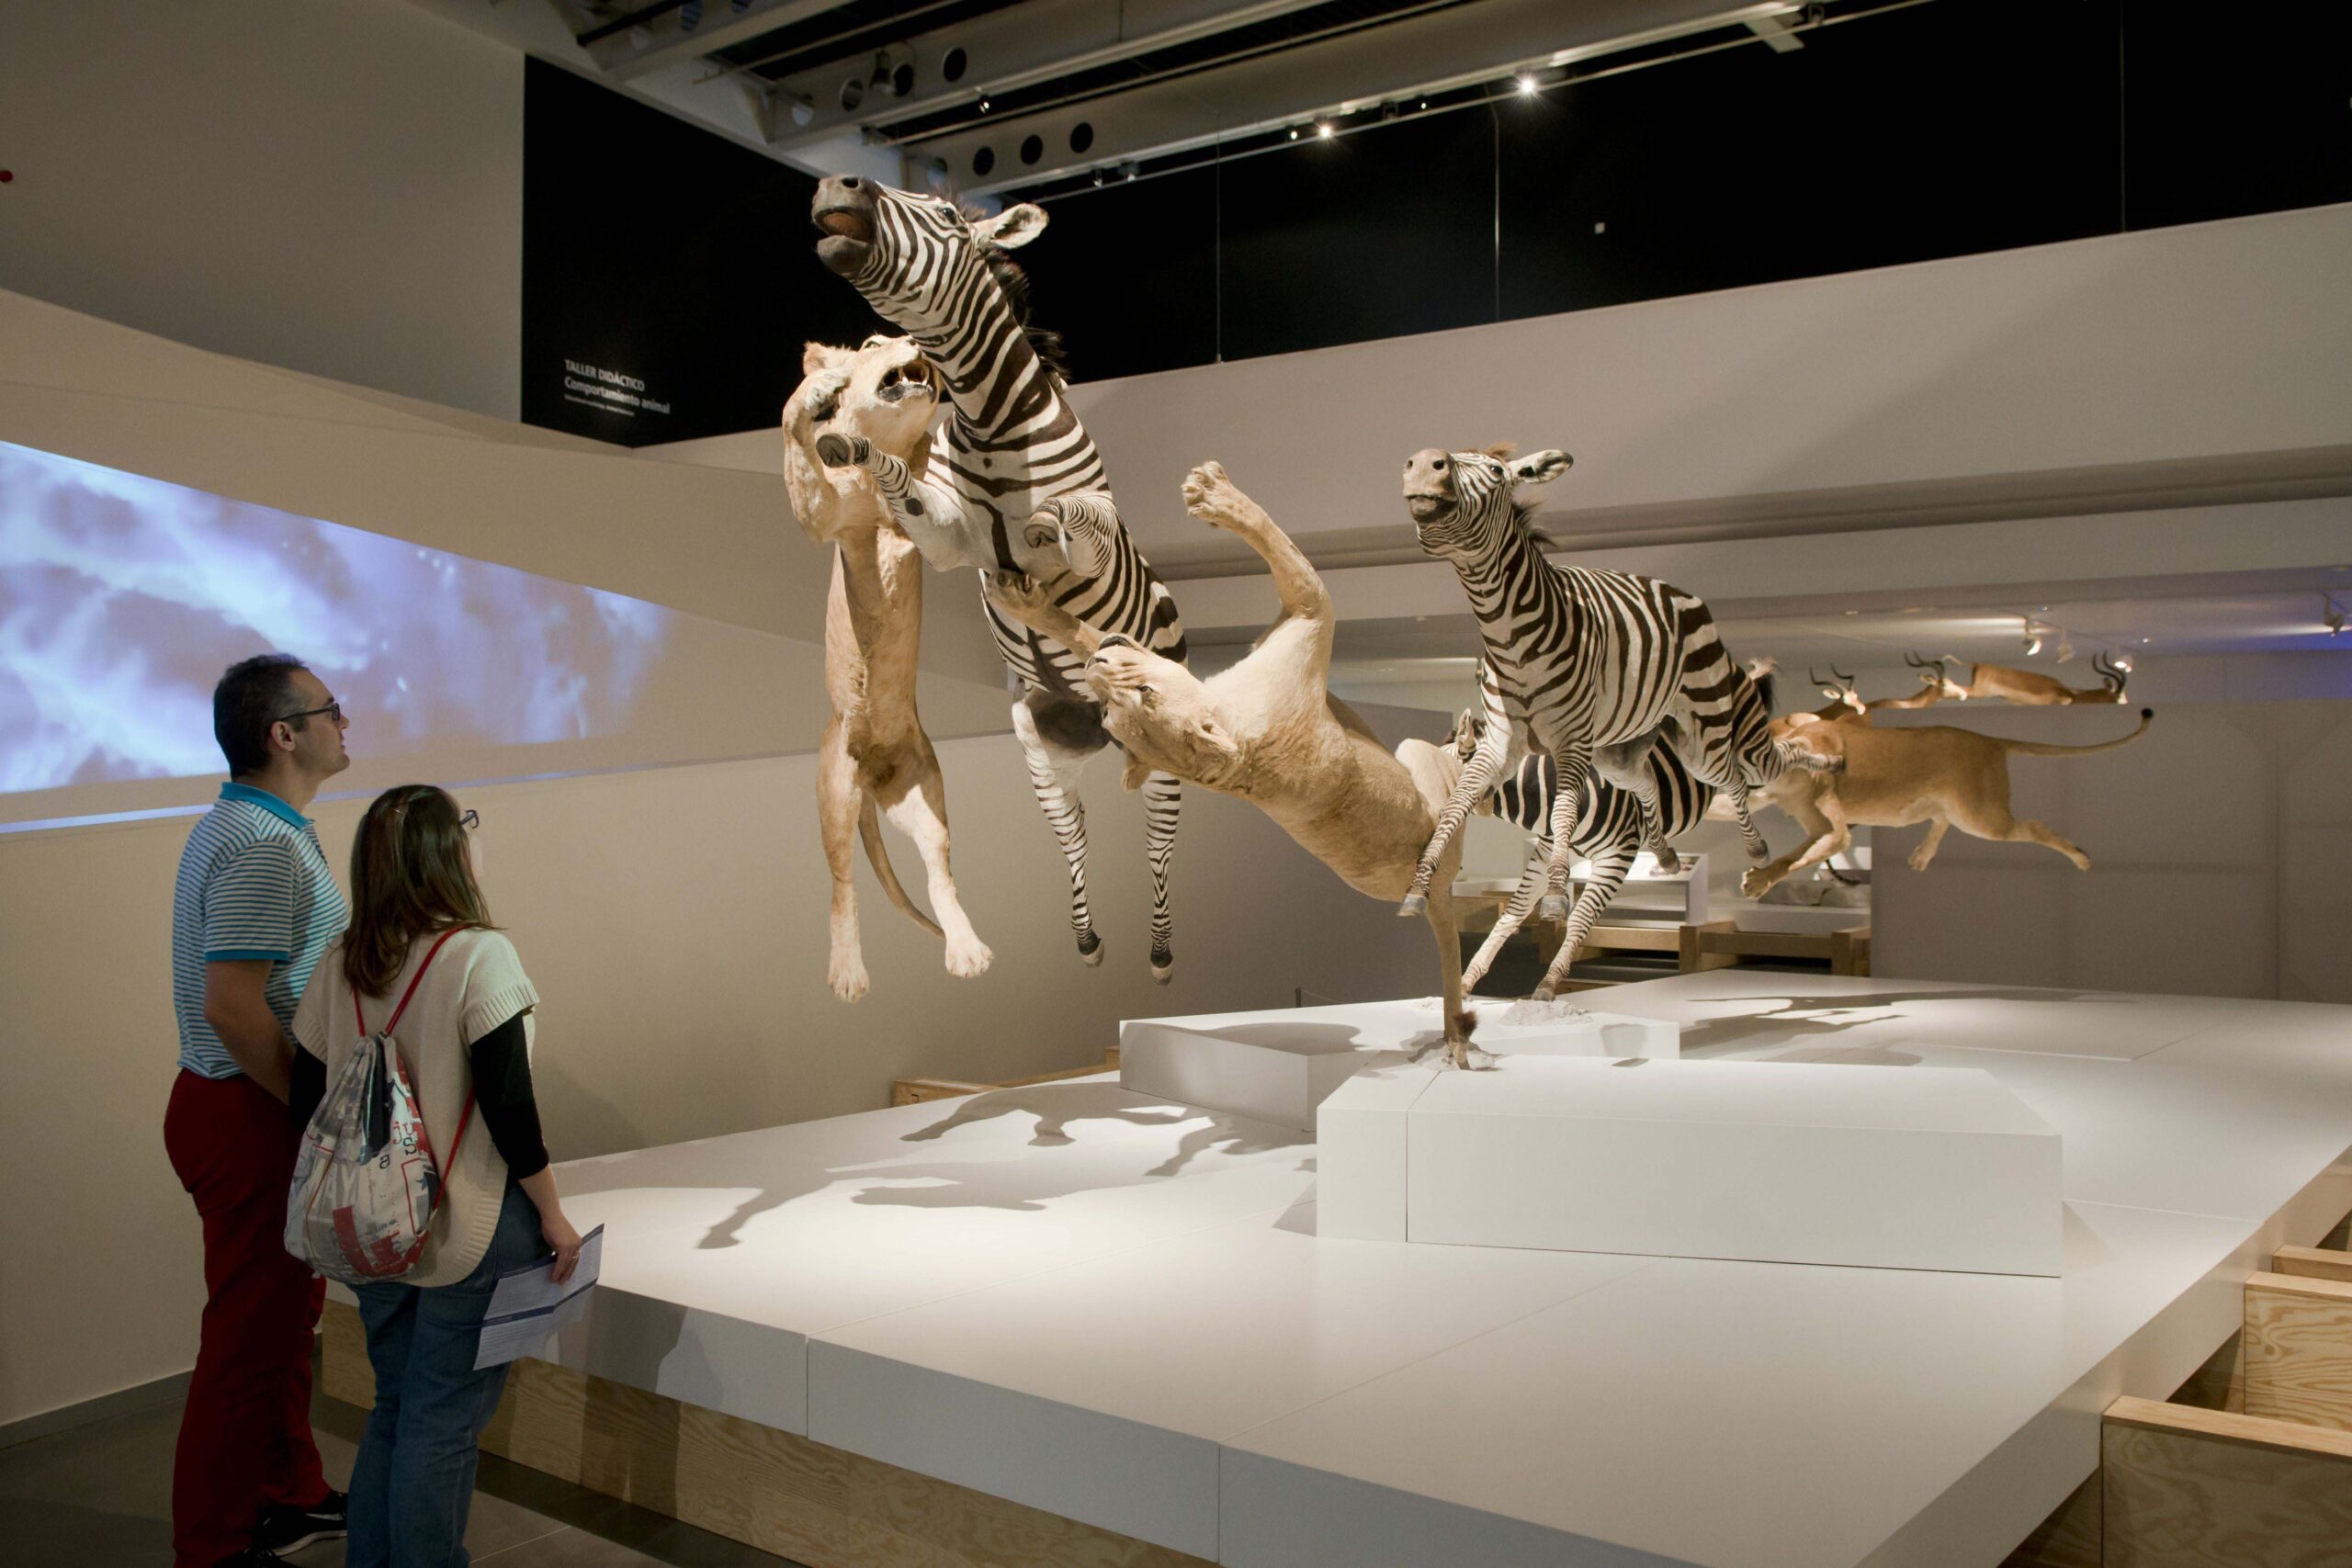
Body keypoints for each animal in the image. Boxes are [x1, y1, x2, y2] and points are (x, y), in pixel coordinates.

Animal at [808, 181, 1185, 982]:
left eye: (950, 216)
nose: (840, 184)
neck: (991, 426)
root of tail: (1110, 729)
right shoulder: (946, 533)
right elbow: (903, 485)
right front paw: (848, 444)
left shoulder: (1099, 524)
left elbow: (1069, 516)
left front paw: (1039, 536)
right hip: (1042, 748)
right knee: (1074, 831)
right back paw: (1088, 941)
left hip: (1167, 747)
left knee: (1159, 839)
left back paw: (1162, 953)